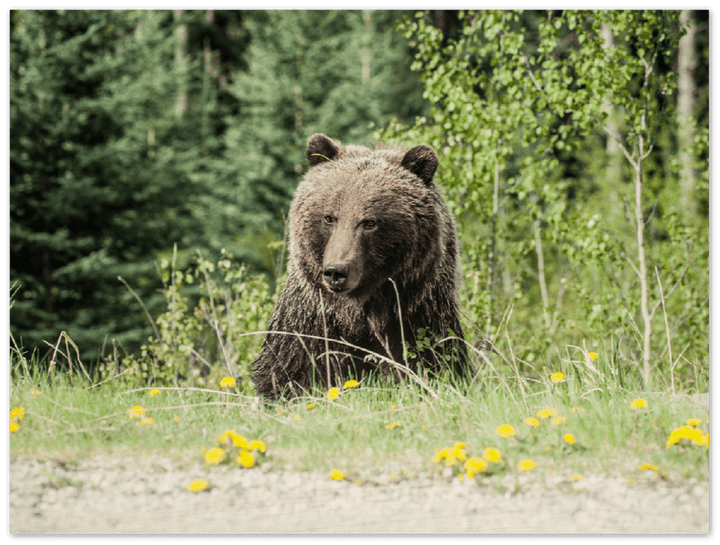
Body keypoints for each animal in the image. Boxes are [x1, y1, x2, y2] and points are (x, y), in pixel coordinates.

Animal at [251, 133, 470, 400]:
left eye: (369, 222)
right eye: (329, 218)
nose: (336, 271)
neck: (359, 314)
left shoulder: (418, 318)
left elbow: (432, 364)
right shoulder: (310, 324)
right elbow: (289, 374)